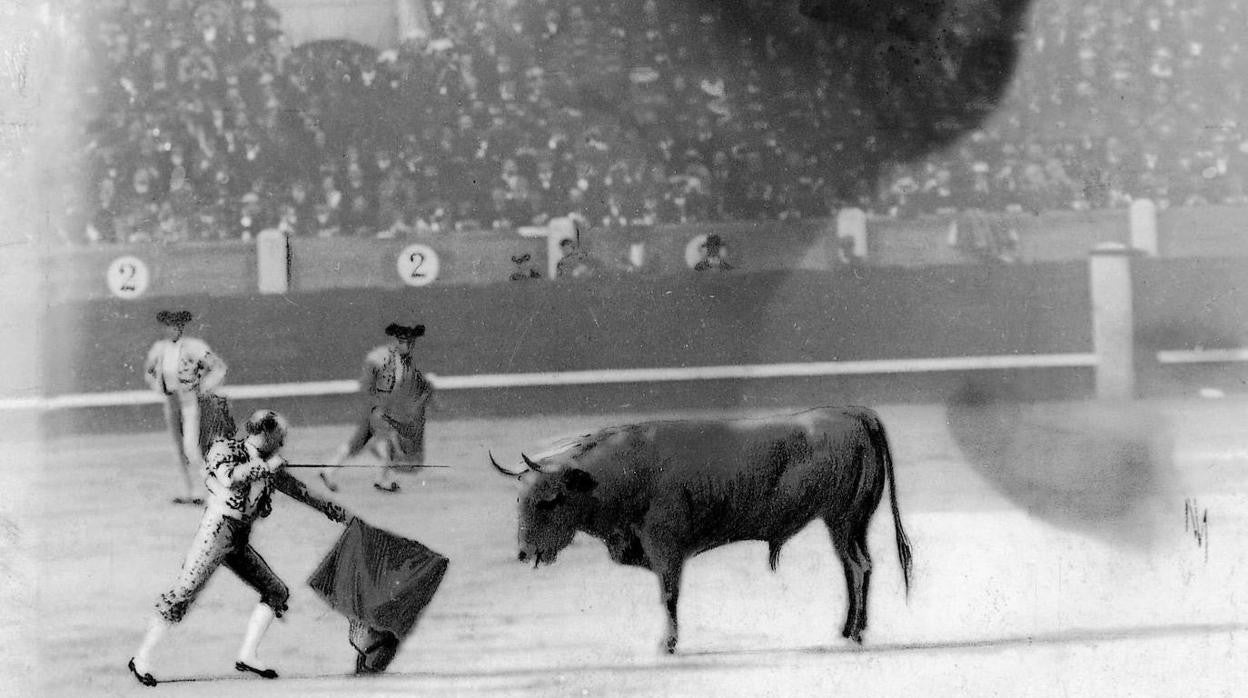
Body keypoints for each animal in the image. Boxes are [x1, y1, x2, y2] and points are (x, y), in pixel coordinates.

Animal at [491, 407, 913, 654]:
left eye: (549, 501)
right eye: (520, 500)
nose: (524, 552)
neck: (625, 474)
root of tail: (853, 413)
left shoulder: (666, 548)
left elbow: (669, 596)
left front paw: (668, 642)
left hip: (842, 520)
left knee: (857, 567)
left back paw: (854, 633)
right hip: (852, 524)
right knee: (857, 567)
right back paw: (849, 629)